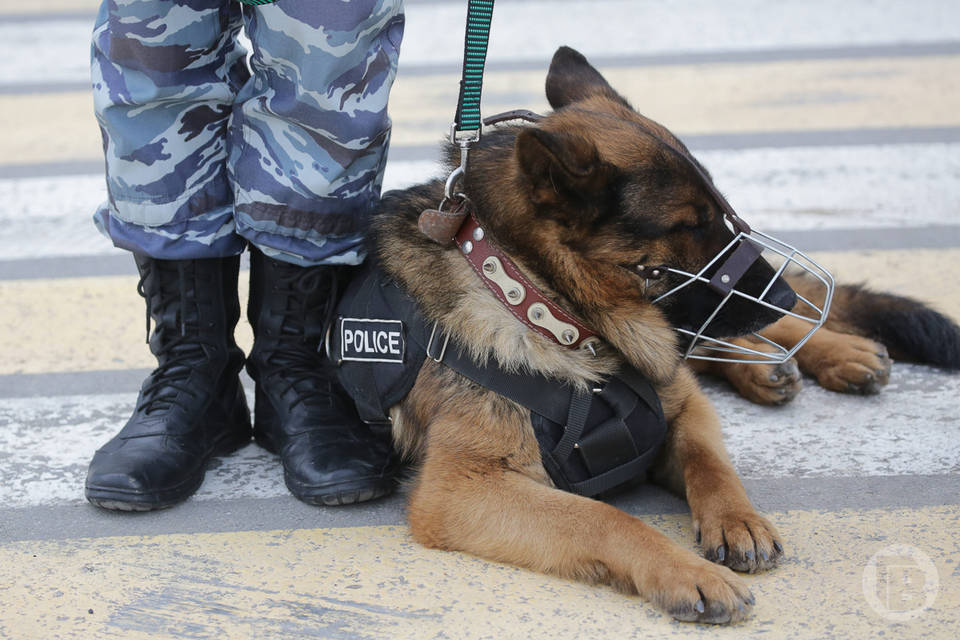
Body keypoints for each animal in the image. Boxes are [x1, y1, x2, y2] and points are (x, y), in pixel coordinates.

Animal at [328, 48, 952, 624]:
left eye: (720, 209)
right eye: (689, 224)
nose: (778, 295)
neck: (540, 302)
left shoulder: (683, 406)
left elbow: (710, 462)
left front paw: (737, 518)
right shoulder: (462, 489)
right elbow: (603, 516)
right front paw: (685, 571)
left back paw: (829, 352)